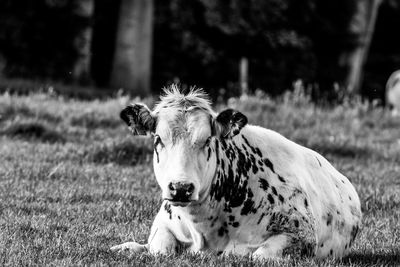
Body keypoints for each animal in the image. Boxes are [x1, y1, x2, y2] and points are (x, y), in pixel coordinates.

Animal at [110, 85, 362, 260]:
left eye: (207, 141)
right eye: (158, 139)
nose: (181, 188)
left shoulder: (301, 235)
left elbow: (259, 256)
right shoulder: (163, 224)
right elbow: (160, 249)